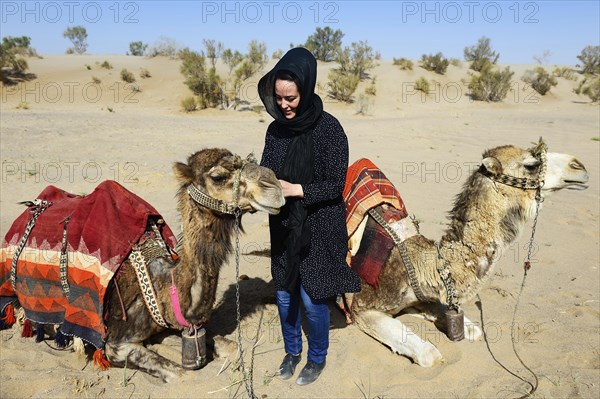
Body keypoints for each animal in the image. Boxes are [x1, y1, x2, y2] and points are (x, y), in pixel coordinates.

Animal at [1, 149, 286, 384]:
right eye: (218, 176)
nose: (274, 186)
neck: (161, 285)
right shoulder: (115, 345)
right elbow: (182, 375)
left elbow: (233, 348)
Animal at [344, 141, 588, 368]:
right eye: (531, 164)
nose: (579, 165)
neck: (419, 263)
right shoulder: (362, 307)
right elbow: (430, 355)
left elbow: (471, 328)